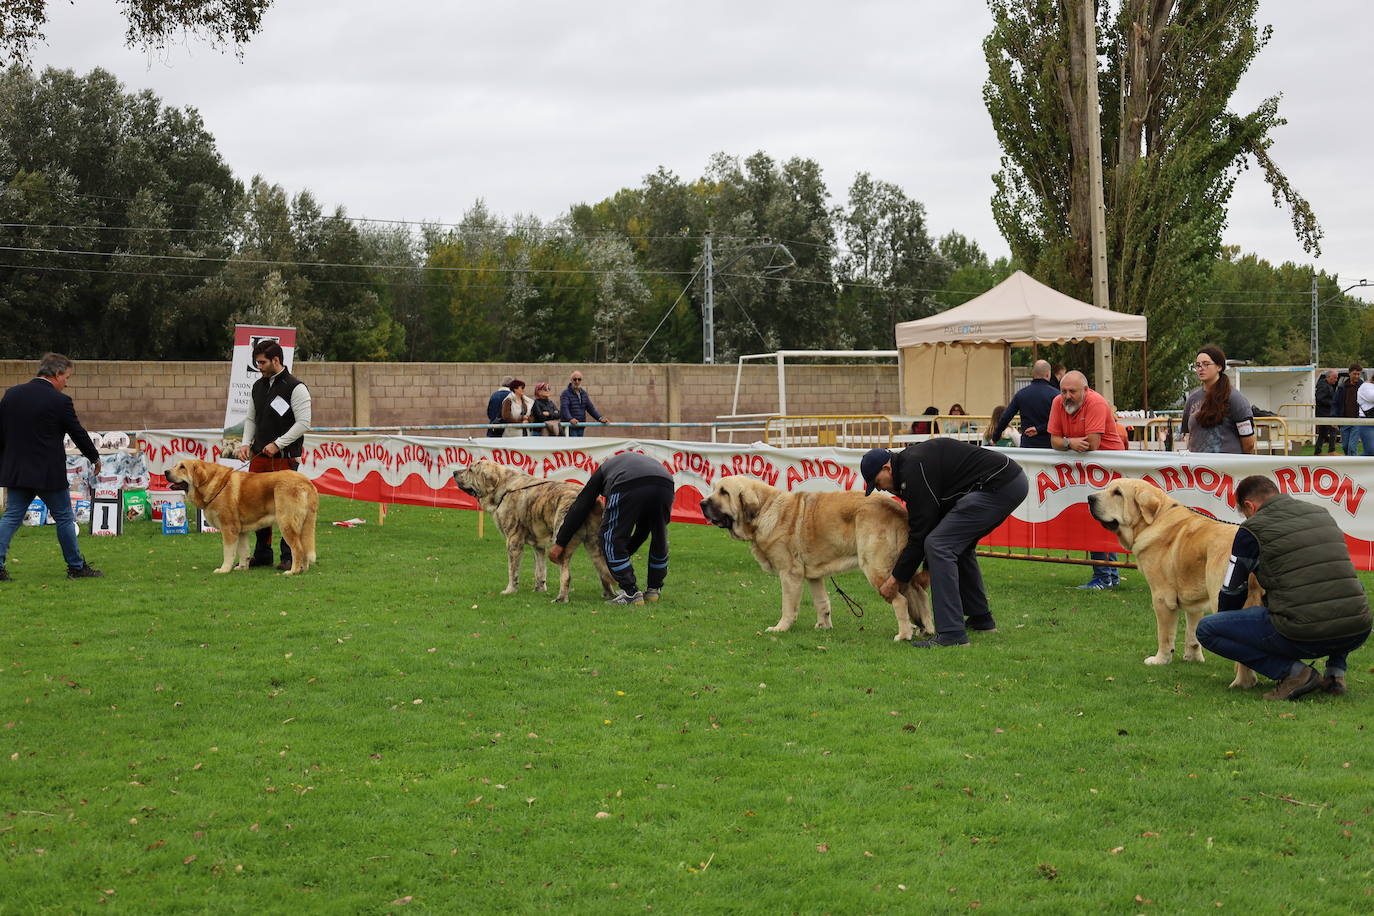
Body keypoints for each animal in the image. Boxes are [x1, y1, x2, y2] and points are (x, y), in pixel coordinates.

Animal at [163, 458, 318, 574]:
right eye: (175, 465)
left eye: (182, 467)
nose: (165, 472)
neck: (214, 484)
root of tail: (306, 481)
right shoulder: (241, 531)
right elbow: (243, 551)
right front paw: (242, 567)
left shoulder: (229, 528)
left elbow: (228, 552)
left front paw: (224, 569)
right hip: (304, 526)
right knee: (304, 548)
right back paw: (303, 569)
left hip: (286, 523)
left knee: (297, 549)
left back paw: (293, 571)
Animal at [453, 458, 615, 601]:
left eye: (470, 470)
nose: (454, 472)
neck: (503, 487)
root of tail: (592, 501)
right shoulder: (538, 545)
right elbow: (540, 569)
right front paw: (539, 589)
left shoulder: (513, 541)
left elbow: (512, 570)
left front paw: (510, 590)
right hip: (594, 544)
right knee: (602, 570)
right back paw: (608, 594)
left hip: (562, 540)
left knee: (567, 576)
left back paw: (561, 598)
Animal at [697, 477, 934, 642]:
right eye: (714, 489)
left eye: (724, 492)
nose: (701, 503)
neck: (765, 510)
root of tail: (897, 509)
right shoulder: (813, 575)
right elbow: (822, 602)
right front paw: (823, 626)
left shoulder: (790, 574)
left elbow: (788, 606)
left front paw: (781, 628)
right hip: (901, 567)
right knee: (920, 593)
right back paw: (927, 629)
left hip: (876, 568)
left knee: (901, 600)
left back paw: (903, 635)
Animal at [1088, 480, 1258, 686]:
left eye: (1118, 493)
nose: (1090, 498)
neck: (1153, 520)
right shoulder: (1195, 599)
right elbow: (1192, 633)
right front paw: (1192, 658)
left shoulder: (1161, 598)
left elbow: (1164, 634)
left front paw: (1161, 659)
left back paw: (1242, 682)